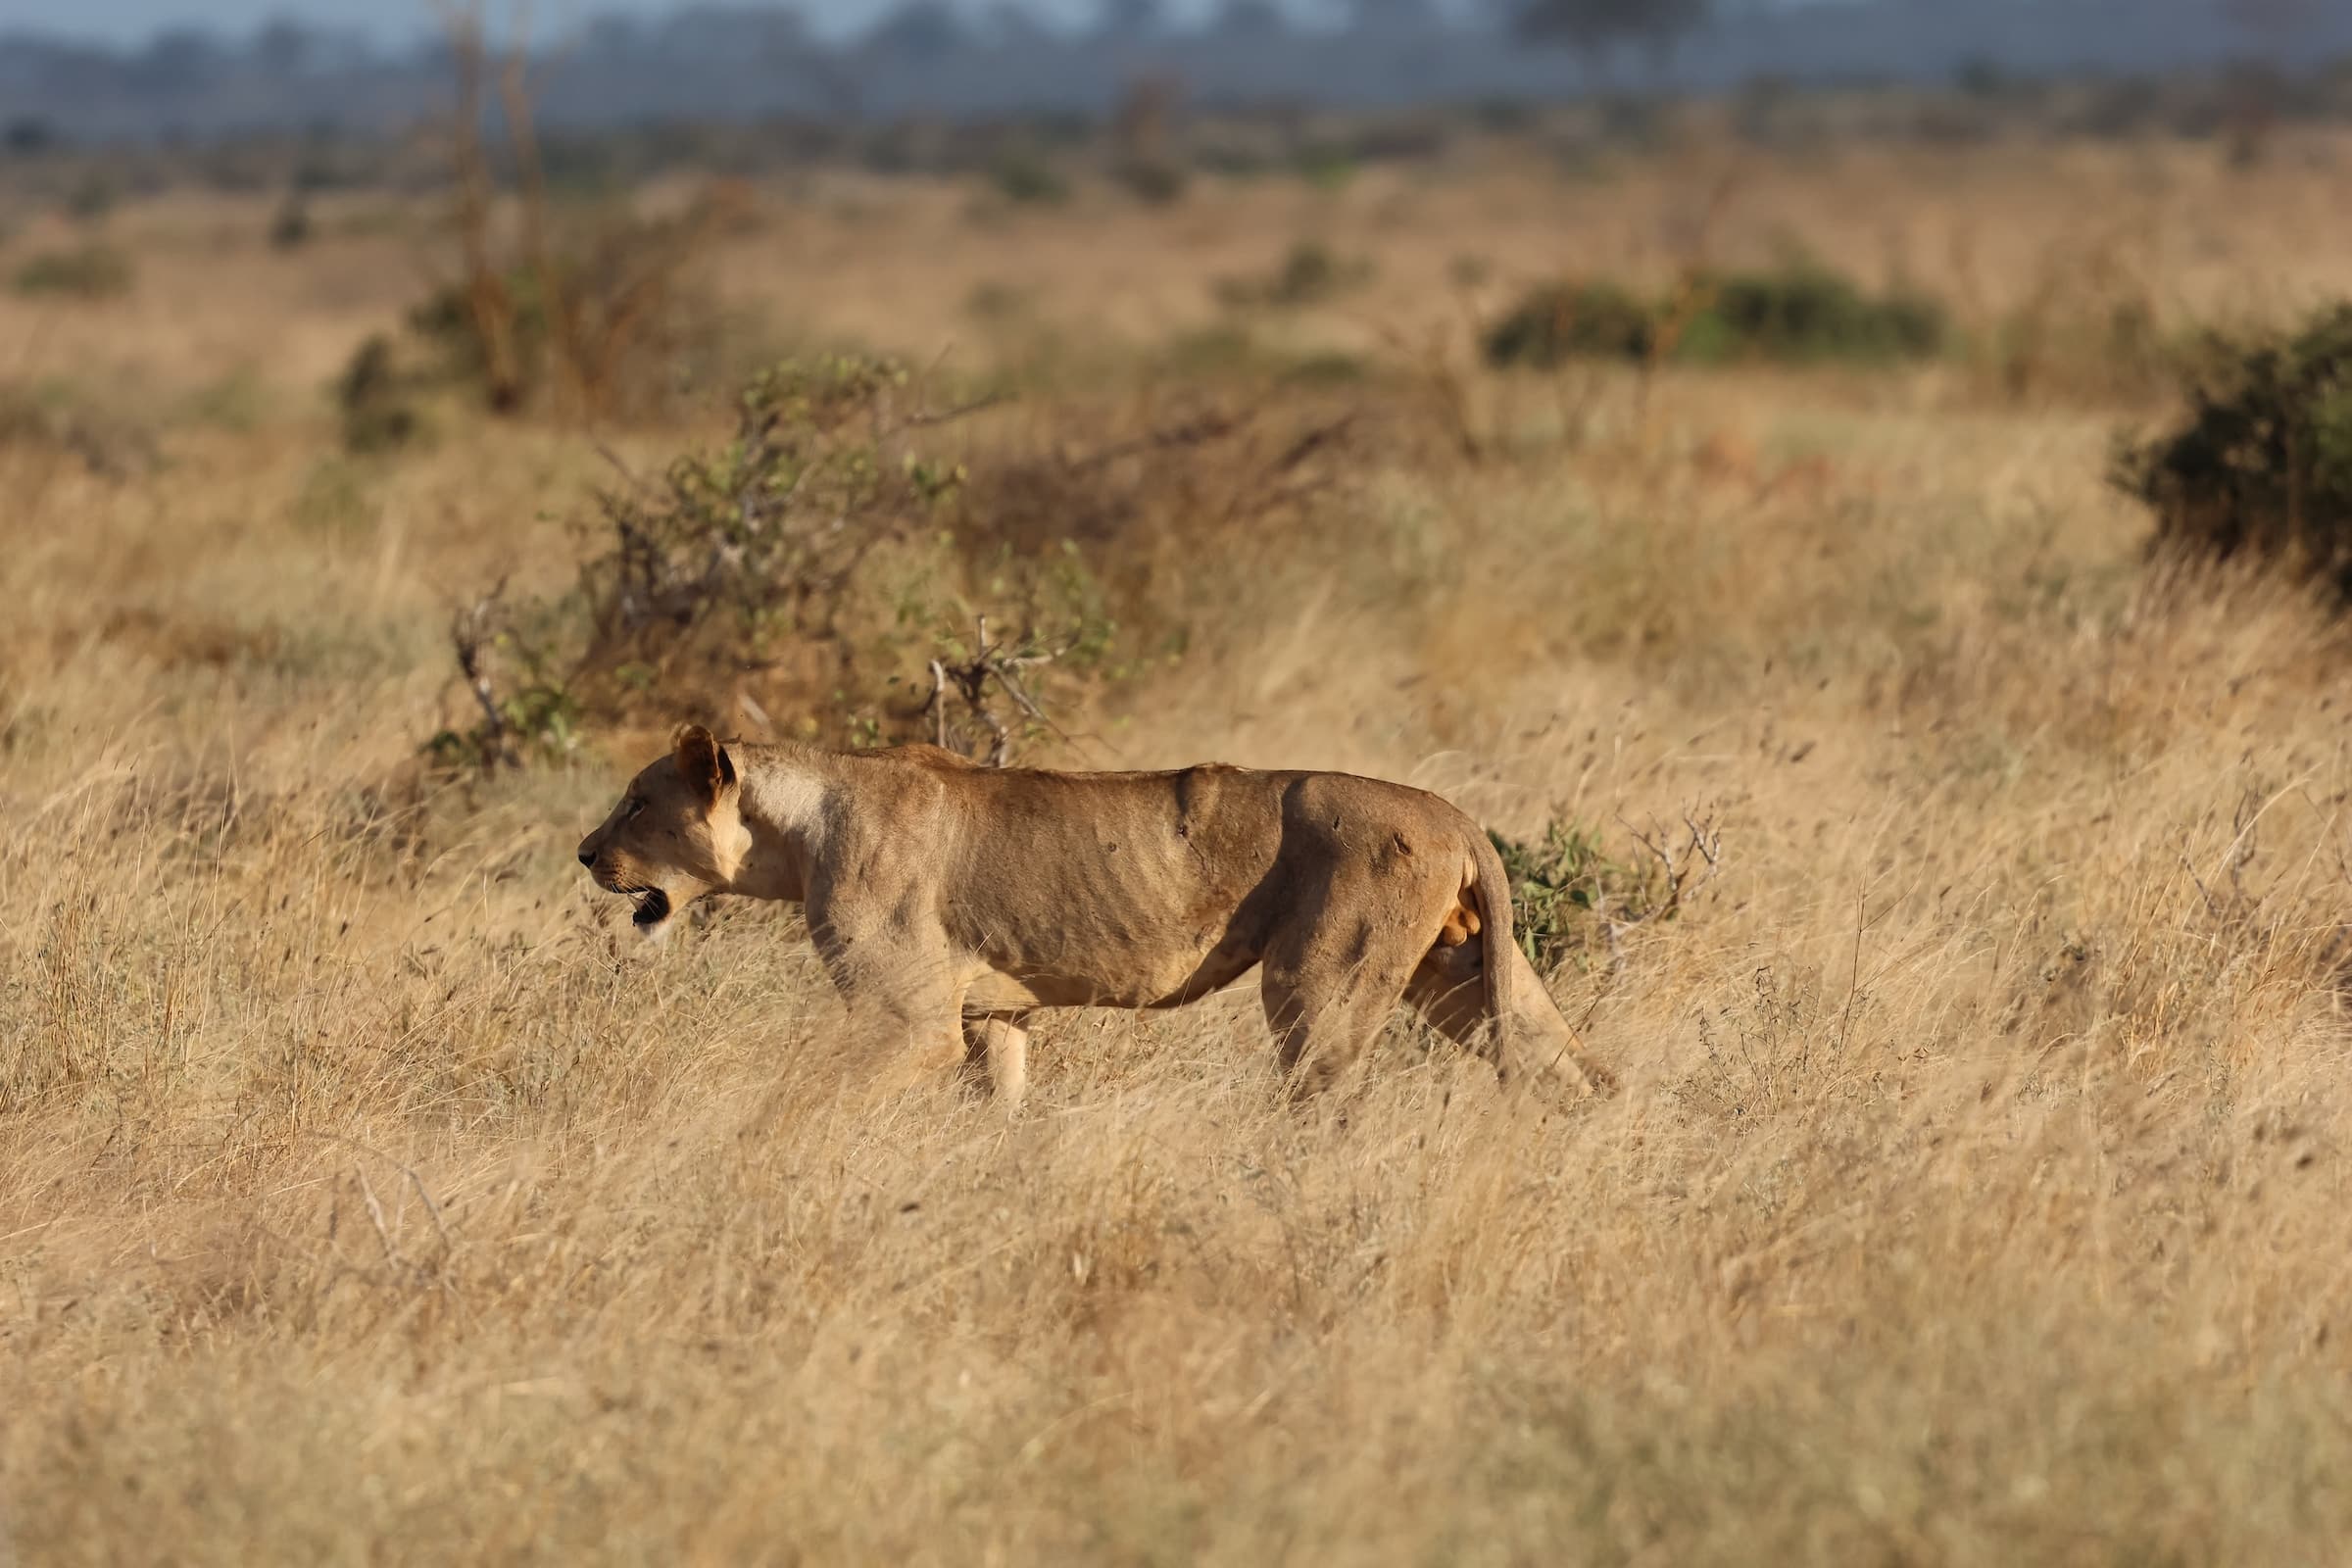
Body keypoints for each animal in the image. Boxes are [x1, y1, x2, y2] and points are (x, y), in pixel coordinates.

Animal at [583, 728, 1618, 1109]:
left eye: (636, 803)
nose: (586, 853)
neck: (800, 830)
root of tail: (1453, 813)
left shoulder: (905, 1020)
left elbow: (808, 1098)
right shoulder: (992, 1014)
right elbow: (1000, 1105)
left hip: (1321, 986)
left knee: (1323, 1101)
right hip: (1467, 977)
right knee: (1579, 1070)